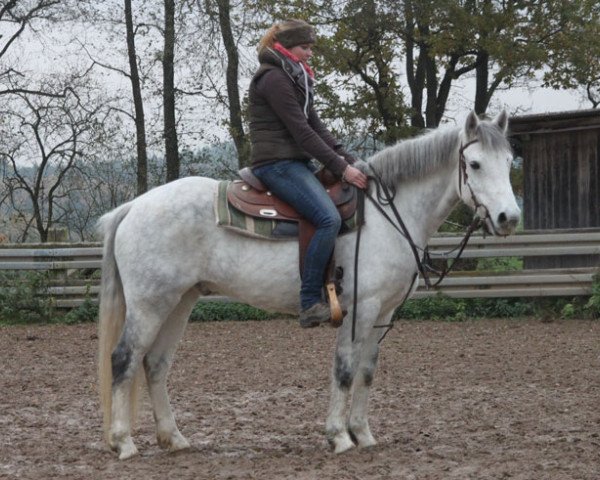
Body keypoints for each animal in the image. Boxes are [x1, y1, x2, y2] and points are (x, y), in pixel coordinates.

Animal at [97, 110, 520, 460]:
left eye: (508, 162)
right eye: (475, 164)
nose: (509, 218)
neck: (388, 216)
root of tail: (133, 207)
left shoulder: (384, 313)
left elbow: (367, 371)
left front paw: (363, 434)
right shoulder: (361, 309)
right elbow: (345, 369)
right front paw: (339, 436)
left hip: (180, 301)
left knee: (155, 363)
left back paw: (174, 438)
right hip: (150, 304)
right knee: (124, 359)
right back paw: (123, 442)